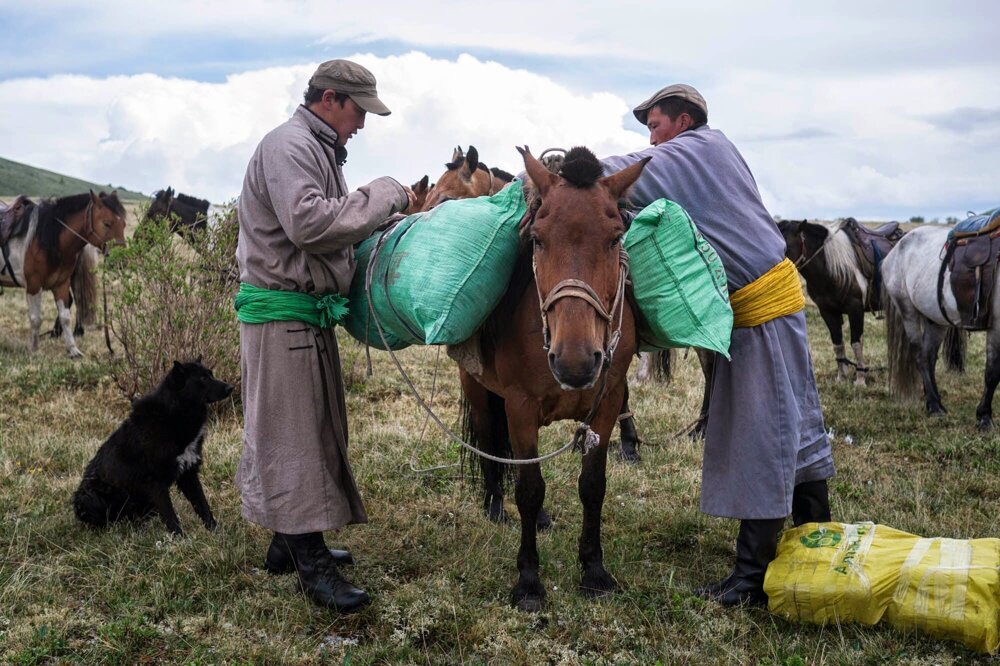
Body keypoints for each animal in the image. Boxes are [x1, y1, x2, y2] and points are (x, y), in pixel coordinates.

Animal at [0, 189, 127, 356]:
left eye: (124, 224)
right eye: (107, 223)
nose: (122, 260)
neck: (45, 237)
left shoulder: (61, 284)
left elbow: (65, 317)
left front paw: (73, 350)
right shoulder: (33, 285)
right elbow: (36, 318)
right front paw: (34, 349)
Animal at [73, 358, 233, 536]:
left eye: (211, 374)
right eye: (203, 379)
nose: (230, 387)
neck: (175, 413)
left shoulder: (188, 474)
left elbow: (202, 505)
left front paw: (215, 532)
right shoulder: (156, 483)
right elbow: (170, 516)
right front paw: (180, 538)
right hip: (89, 497)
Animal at [458, 144, 648, 608]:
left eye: (615, 237)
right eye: (539, 239)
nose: (575, 362)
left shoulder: (608, 403)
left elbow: (592, 485)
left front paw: (594, 570)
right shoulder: (520, 406)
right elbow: (528, 488)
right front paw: (528, 581)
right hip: (479, 388)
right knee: (491, 443)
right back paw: (494, 507)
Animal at [776, 218, 904, 384]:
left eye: (785, 246)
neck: (831, 269)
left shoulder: (855, 309)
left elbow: (856, 343)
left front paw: (860, 380)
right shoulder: (827, 311)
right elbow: (838, 344)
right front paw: (842, 378)